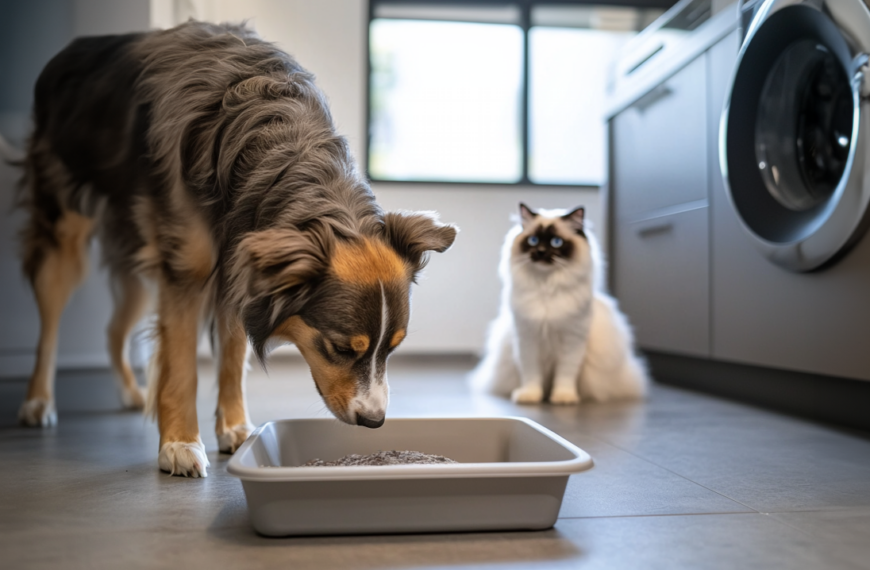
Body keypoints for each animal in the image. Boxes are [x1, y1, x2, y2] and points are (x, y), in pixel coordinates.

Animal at [17, 21, 460, 474]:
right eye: (339, 347)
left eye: (393, 348)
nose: (374, 421)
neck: (276, 146)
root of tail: (72, 49)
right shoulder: (186, 269)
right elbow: (182, 366)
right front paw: (179, 444)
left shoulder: (241, 264)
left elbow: (231, 357)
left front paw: (235, 429)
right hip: (63, 229)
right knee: (49, 326)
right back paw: (38, 402)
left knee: (112, 329)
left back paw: (130, 393)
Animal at [470, 202, 648, 402]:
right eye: (533, 240)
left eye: (556, 242)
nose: (540, 252)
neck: (547, 288)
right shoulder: (527, 339)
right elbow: (531, 374)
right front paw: (531, 395)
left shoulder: (572, 340)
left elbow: (565, 374)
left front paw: (563, 397)